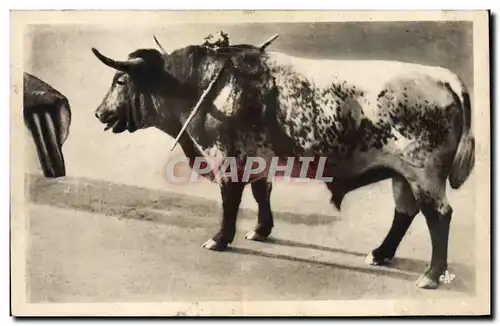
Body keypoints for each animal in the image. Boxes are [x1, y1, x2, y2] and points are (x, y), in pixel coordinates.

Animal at [92, 37, 474, 290]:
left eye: (121, 80)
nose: (98, 113)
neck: (205, 85)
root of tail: (441, 76)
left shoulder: (225, 158)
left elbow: (230, 202)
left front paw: (220, 238)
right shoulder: (256, 159)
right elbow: (262, 193)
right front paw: (261, 230)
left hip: (424, 175)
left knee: (438, 216)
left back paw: (431, 275)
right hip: (402, 176)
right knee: (405, 213)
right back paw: (380, 254)